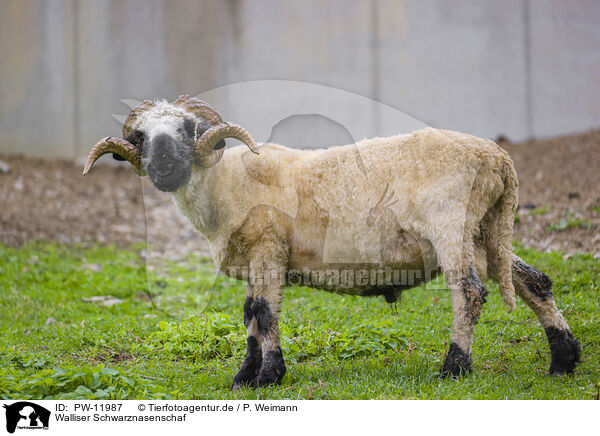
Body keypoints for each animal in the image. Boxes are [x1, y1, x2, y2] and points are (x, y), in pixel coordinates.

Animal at [82, 94, 580, 384]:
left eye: (189, 129)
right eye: (141, 135)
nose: (164, 167)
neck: (227, 183)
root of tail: (498, 159)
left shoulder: (268, 247)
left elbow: (264, 311)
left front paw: (269, 376)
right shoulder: (255, 256)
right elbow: (250, 311)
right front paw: (244, 375)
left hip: (451, 225)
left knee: (470, 293)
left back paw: (454, 368)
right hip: (485, 230)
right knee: (534, 282)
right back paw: (564, 360)